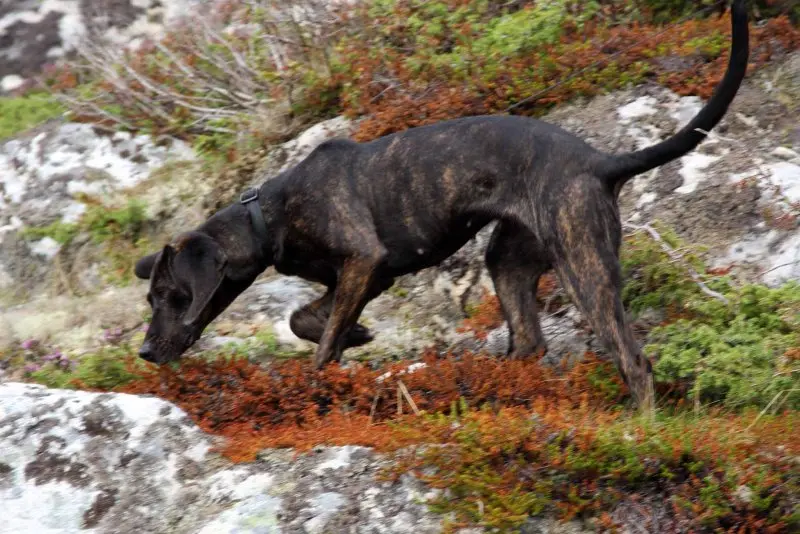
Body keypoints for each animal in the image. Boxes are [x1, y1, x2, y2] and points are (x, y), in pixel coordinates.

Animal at [133, 1, 752, 410]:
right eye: (151, 296)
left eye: (172, 295)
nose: (142, 352)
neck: (269, 214)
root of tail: (600, 163)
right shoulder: (368, 274)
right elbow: (306, 316)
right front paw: (355, 335)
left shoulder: (363, 261)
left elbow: (321, 338)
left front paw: (325, 372)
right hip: (510, 259)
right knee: (529, 341)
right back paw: (488, 387)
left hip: (584, 265)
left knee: (634, 360)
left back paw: (638, 427)